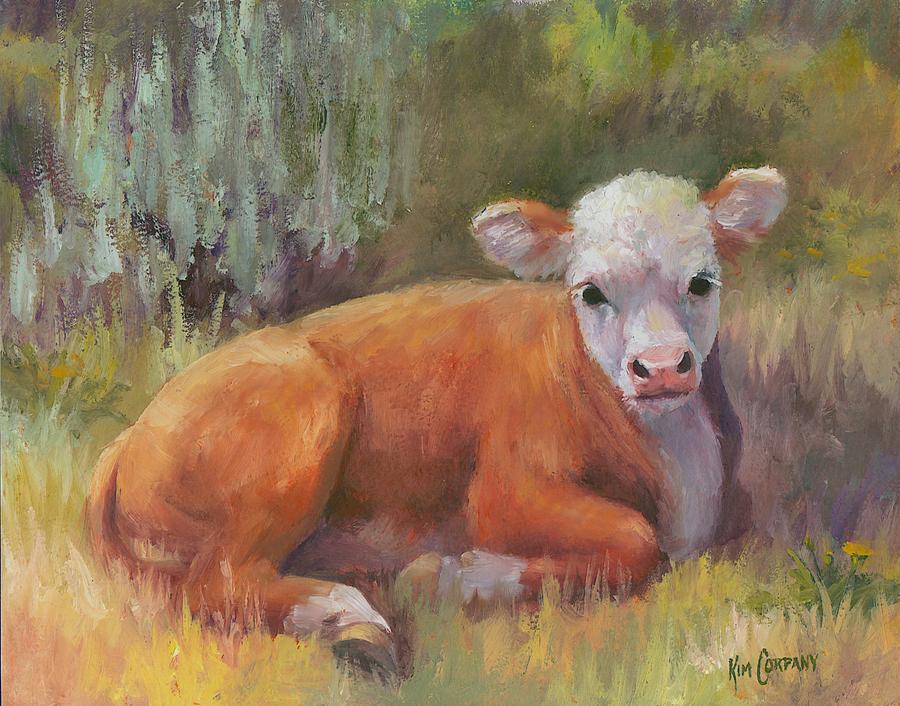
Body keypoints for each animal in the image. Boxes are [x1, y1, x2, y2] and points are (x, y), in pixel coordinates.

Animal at [86, 167, 786, 673]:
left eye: (702, 281)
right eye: (590, 291)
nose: (662, 367)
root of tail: (132, 434)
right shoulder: (505, 489)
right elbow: (635, 541)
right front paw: (458, 577)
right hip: (302, 422)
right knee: (218, 582)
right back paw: (350, 621)